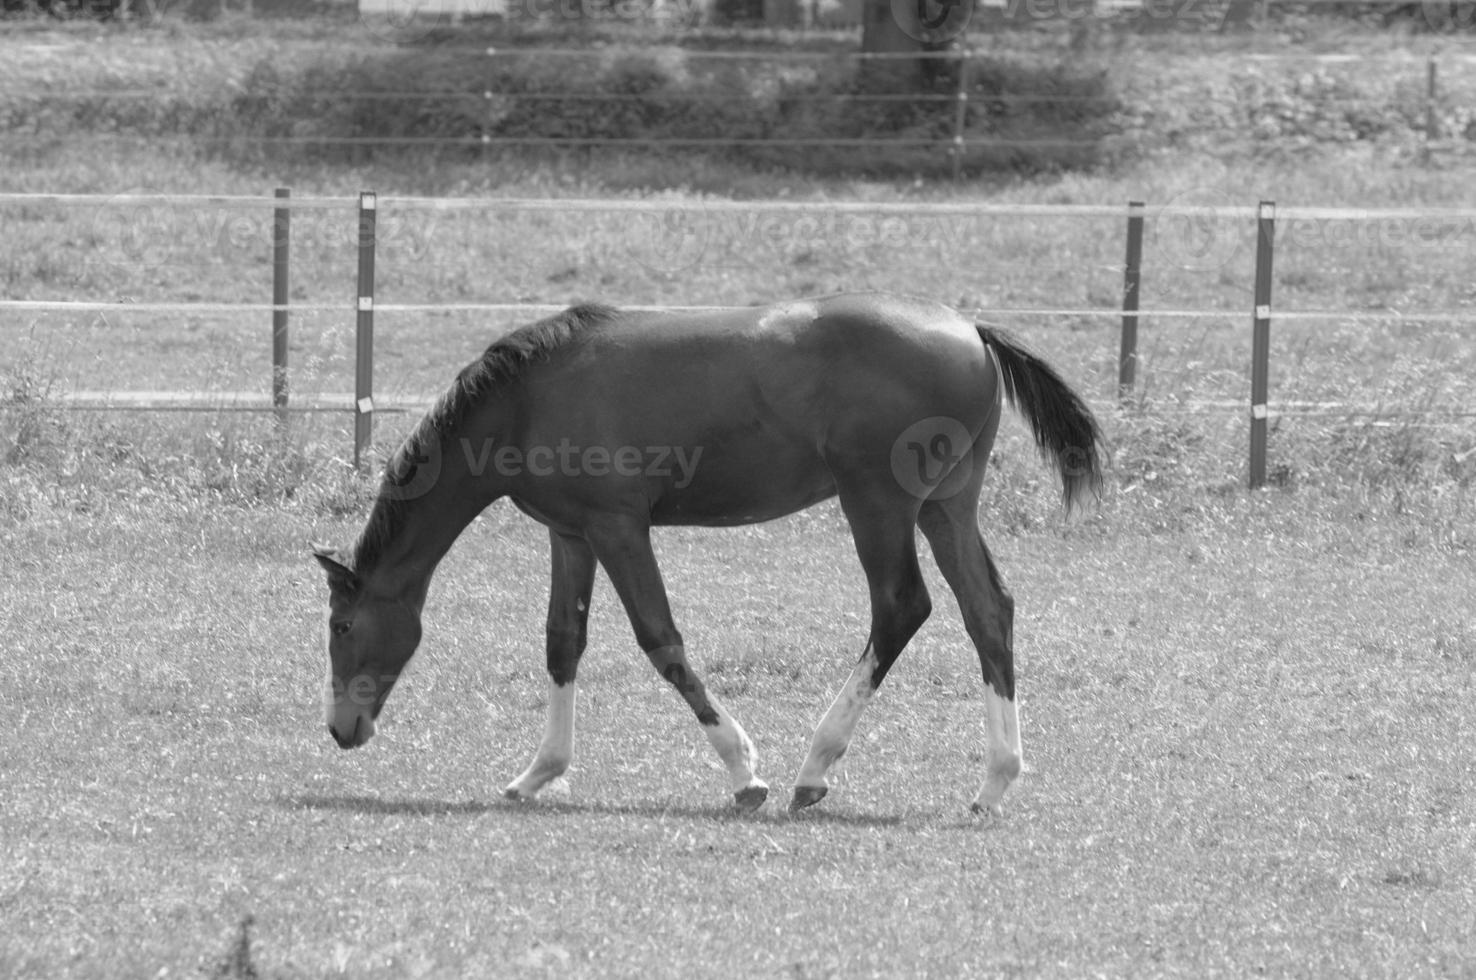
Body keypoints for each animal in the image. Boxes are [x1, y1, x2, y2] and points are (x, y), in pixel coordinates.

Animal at [317, 290, 1104, 808]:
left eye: (342, 625)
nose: (341, 729)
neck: (528, 399)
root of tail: (971, 330)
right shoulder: (571, 534)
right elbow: (562, 643)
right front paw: (539, 772)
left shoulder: (618, 528)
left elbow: (659, 638)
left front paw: (743, 770)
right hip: (947, 509)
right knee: (988, 611)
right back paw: (995, 781)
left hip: (878, 506)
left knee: (901, 609)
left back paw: (814, 768)